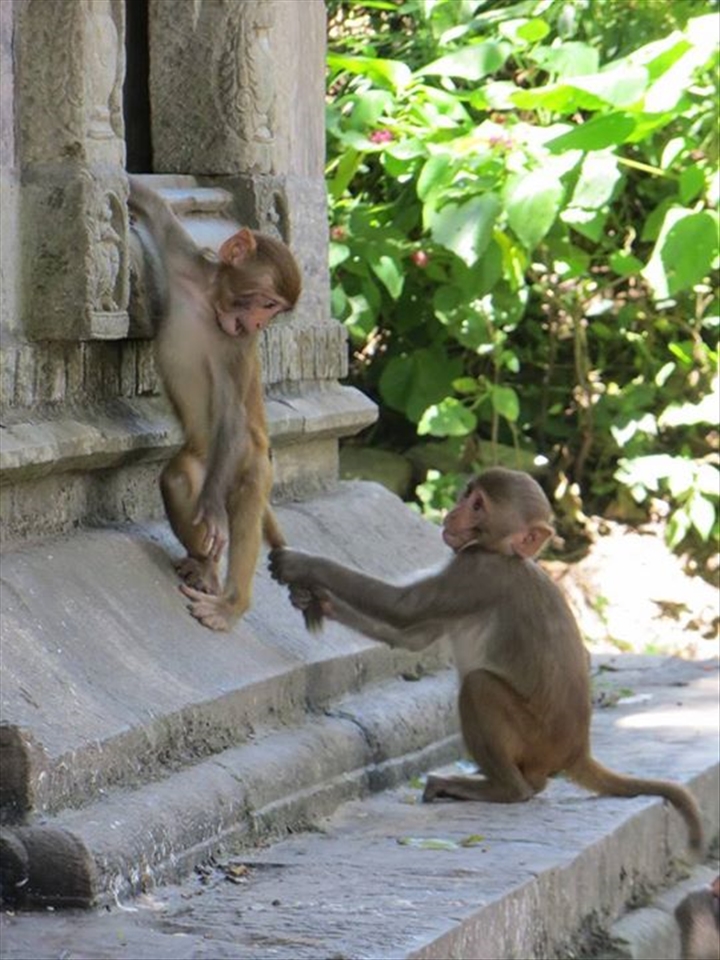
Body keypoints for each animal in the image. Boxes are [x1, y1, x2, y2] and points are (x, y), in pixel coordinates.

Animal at [128, 175, 312, 631]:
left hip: (250, 461)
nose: (261, 322)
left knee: (244, 515)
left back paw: (232, 604)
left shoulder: (238, 347)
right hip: (205, 460)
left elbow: (231, 413)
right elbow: (156, 208)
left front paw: (212, 509)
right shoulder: (184, 257)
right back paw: (206, 564)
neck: (209, 301)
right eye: (267, 302)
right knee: (178, 479)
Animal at [269, 467, 703, 854]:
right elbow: (412, 637)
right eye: (467, 495)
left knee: (479, 688)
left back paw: (503, 788)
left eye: (478, 506)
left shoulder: (476, 570)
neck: (503, 552)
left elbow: (403, 610)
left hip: (535, 739)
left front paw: (302, 564)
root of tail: (577, 750)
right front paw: (314, 600)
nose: (453, 513)